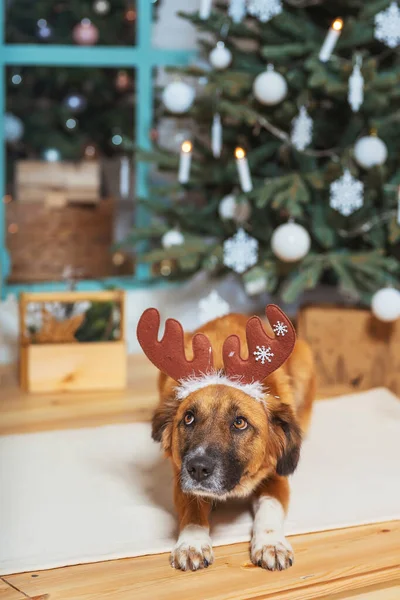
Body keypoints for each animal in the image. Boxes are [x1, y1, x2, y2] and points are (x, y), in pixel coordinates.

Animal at [138, 304, 316, 572]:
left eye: (240, 422)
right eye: (188, 418)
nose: (198, 468)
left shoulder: (276, 476)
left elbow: (269, 507)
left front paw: (271, 543)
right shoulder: (181, 478)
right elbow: (193, 509)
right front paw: (192, 543)